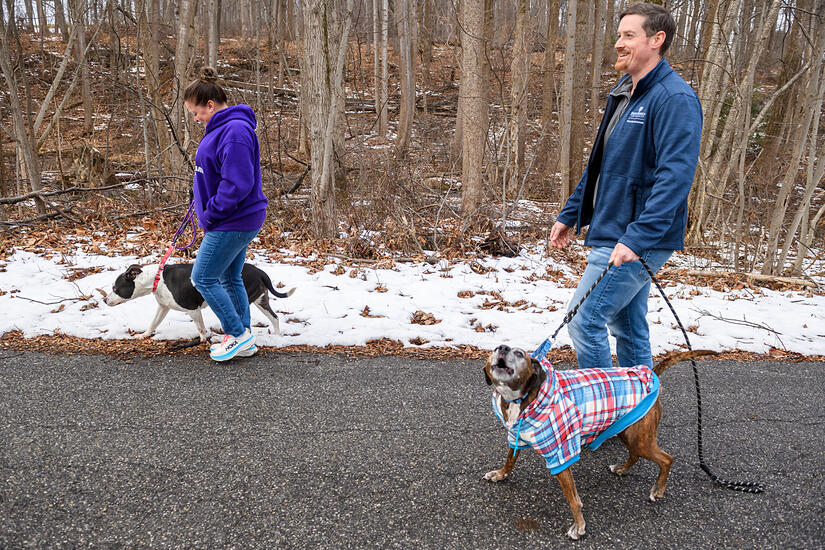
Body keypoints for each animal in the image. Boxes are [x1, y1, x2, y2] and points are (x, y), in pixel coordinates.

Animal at [104, 266, 294, 342]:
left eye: (115, 288)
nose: (104, 300)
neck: (156, 279)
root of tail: (260, 271)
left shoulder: (192, 309)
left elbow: (200, 327)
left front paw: (203, 340)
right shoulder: (163, 307)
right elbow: (153, 323)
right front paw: (144, 335)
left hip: (241, 298)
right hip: (260, 300)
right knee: (275, 318)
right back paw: (277, 337)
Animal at [482, 348, 716, 540]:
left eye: (520, 353)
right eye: (495, 348)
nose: (502, 348)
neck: (520, 399)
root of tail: (649, 373)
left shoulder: (560, 454)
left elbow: (571, 498)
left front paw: (578, 526)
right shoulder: (516, 438)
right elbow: (510, 461)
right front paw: (500, 474)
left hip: (640, 438)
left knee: (667, 459)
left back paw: (657, 490)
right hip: (627, 430)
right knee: (635, 454)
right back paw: (623, 469)